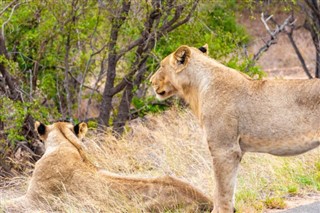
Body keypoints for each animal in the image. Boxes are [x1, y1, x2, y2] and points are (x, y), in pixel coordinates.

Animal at [151, 44, 320, 212]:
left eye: (161, 66)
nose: (151, 81)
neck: (198, 88)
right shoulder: (234, 151)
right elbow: (227, 190)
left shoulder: (225, 150)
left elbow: (221, 191)